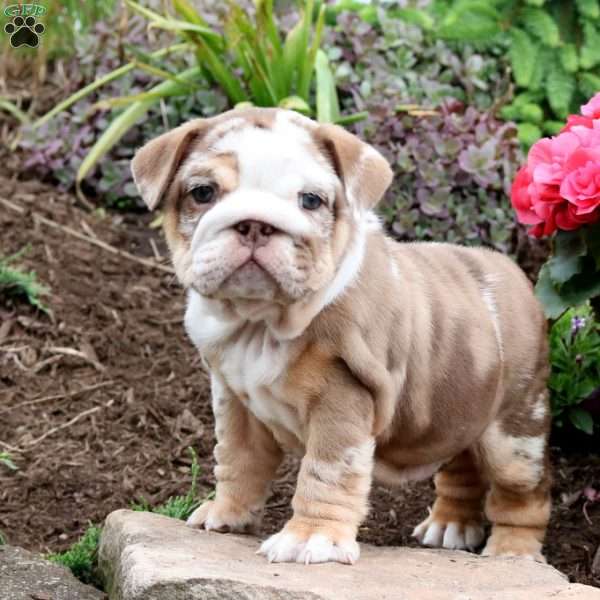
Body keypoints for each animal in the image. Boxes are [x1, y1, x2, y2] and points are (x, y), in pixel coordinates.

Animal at [132, 109, 552, 568]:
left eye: (311, 200)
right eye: (203, 192)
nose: (256, 224)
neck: (259, 322)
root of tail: (512, 272)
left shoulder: (342, 400)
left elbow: (327, 471)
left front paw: (310, 538)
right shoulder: (234, 403)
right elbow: (237, 459)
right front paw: (226, 514)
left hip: (514, 432)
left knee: (523, 493)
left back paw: (512, 552)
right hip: (458, 409)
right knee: (461, 465)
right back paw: (450, 525)